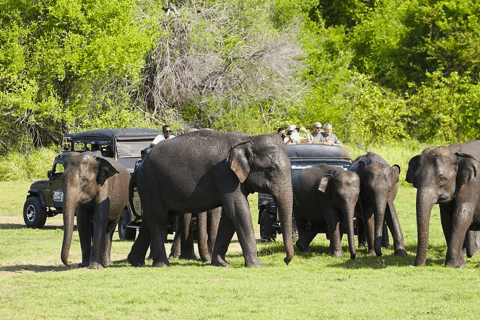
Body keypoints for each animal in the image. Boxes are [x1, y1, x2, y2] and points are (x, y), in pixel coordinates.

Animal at [126, 130, 292, 268]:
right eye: (271, 169)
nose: (285, 260)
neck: (248, 139)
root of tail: (139, 166)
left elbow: (230, 215)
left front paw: (222, 264)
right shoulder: (225, 174)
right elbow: (238, 209)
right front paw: (257, 266)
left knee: (149, 219)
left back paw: (136, 262)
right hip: (151, 184)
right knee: (158, 219)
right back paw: (163, 265)